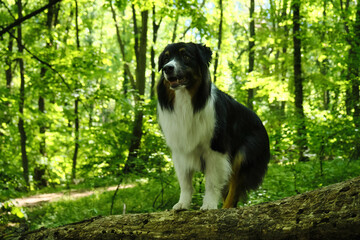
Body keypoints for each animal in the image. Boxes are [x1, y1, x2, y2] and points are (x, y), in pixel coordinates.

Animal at [156, 42, 268, 209]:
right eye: (166, 58)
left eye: (185, 56)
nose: (167, 68)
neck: (185, 100)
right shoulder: (180, 151)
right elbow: (185, 183)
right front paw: (183, 204)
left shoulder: (216, 150)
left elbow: (211, 183)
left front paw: (209, 205)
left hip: (244, 155)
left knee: (234, 191)